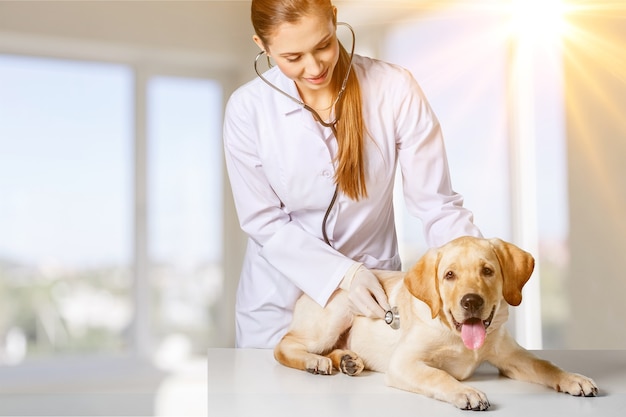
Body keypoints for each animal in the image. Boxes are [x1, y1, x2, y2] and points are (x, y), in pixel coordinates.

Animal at [272, 236, 596, 408]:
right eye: (449, 275)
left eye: (488, 271)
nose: (471, 302)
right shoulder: (404, 362)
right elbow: (438, 376)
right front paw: (466, 392)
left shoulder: (510, 356)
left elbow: (545, 364)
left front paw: (573, 378)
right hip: (338, 312)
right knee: (284, 346)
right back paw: (315, 361)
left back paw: (348, 360)